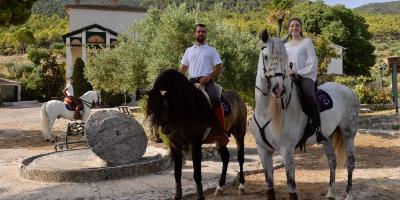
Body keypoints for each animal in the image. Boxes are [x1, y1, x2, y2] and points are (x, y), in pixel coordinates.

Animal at [147, 69, 247, 199]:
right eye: (151, 108)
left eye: (164, 106)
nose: (164, 130)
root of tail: (239, 98)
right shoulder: (175, 145)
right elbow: (177, 174)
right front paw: (178, 196)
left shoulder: (195, 144)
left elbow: (197, 174)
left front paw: (200, 196)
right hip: (219, 139)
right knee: (225, 158)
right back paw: (219, 187)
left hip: (239, 133)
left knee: (240, 158)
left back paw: (241, 186)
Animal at [252, 30, 360, 200]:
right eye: (266, 56)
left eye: (283, 58)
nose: (278, 89)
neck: (266, 113)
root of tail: (349, 91)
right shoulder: (263, 150)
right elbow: (269, 184)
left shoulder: (287, 150)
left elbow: (291, 185)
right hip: (327, 137)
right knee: (332, 161)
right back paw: (330, 192)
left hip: (348, 134)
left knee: (350, 162)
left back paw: (349, 194)